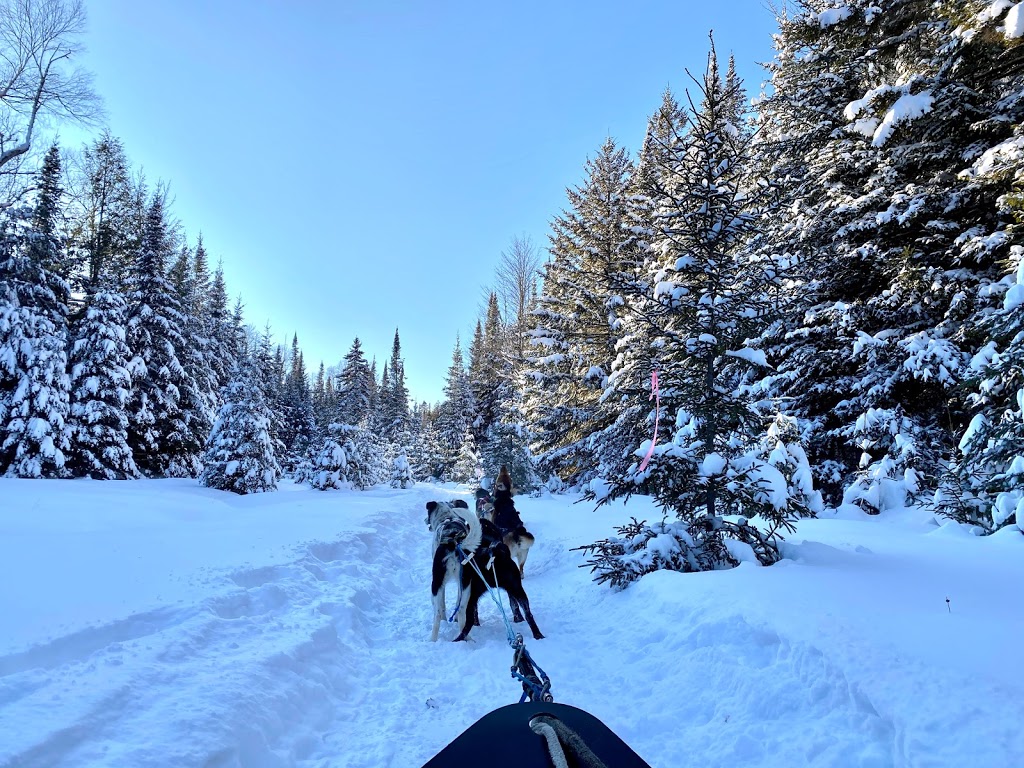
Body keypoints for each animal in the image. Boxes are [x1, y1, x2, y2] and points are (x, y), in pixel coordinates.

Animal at [423, 501, 544, 647]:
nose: (425, 520)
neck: (447, 520)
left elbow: (442, 607)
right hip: (491, 588)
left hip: (443, 585)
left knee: (440, 614)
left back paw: (436, 639)